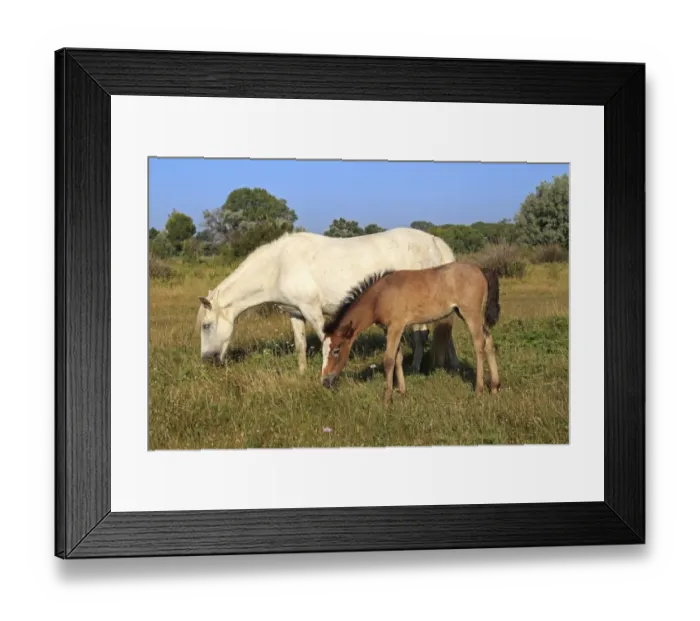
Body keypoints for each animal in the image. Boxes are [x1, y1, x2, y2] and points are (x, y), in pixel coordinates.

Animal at [195, 227, 461, 377]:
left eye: (206, 326)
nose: (206, 359)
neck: (279, 266)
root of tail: (434, 241)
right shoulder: (296, 313)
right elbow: (300, 344)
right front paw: (302, 373)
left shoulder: (312, 311)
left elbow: (327, 341)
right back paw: (448, 366)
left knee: (425, 334)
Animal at [320, 261, 502, 406]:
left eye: (336, 350)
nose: (325, 381)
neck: (380, 296)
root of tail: (480, 270)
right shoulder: (389, 329)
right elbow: (397, 358)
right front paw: (402, 392)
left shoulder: (396, 326)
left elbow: (388, 360)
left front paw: (387, 399)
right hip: (466, 314)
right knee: (489, 340)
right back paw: (494, 387)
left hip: (471, 314)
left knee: (479, 344)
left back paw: (478, 390)